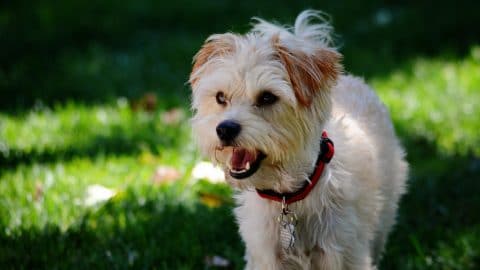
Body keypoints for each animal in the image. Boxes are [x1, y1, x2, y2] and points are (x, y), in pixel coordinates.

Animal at [189, 9, 406, 268]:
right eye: (220, 97)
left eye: (267, 97)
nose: (224, 129)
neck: (289, 197)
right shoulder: (266, 256)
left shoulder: (343, 253)